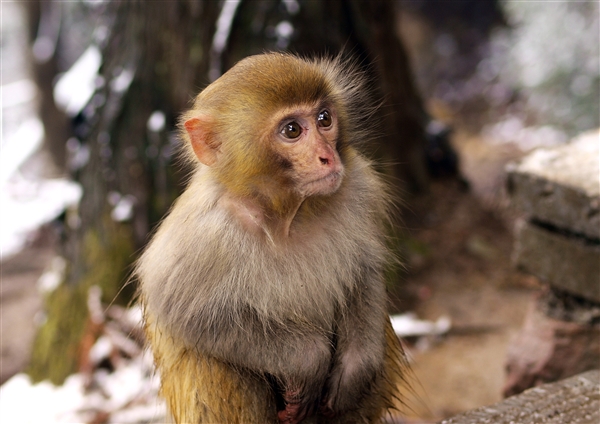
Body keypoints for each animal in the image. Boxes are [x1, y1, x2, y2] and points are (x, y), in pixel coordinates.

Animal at [135, 51, 406, 422]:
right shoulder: (198, 236)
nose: (328, 156)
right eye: (292, 130)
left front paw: (356, 366)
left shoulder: (359, 186)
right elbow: (185, 315)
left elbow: (365, 272)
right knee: (217, 365)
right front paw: (308, 362)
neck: (287, 214)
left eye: (324, 119)